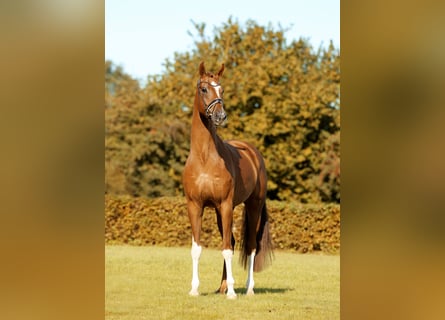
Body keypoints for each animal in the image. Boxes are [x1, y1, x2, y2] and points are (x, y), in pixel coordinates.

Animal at [182, 63, 272, 300]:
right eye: (204, 89)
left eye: (221, 90)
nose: (221, 116)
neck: (204, 157)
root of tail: (253, 153)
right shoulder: (195, 206)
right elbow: (197, 248)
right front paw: (194, 289)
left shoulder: (225, 204)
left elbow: (227, 250)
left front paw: (232, 292)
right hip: (220, 211)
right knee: (231, 241)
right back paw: (221, 286)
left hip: (252, 206)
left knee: (250, 246)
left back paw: (248, 288)